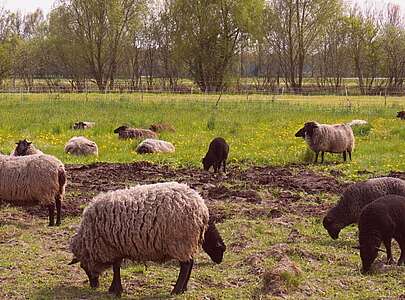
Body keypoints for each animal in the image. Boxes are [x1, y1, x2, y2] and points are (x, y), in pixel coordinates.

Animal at [68, 182, 226, 296]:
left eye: (83, 266)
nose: (93, 286)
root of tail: (201, 207)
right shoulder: (117, 247)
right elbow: (116, 266)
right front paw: (114, 288)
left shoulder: (112, 247)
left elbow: (116, 267)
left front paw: (116, 290)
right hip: (186, 242)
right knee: (190, 263)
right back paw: (183, 289)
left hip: (181, 241)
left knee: (186, 265)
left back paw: (175, 290)